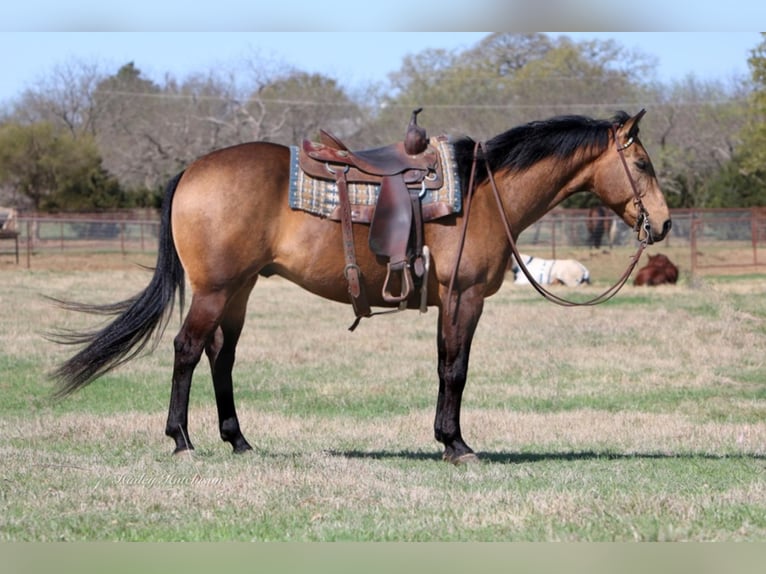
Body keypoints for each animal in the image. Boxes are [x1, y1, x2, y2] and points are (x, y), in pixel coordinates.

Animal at [51, 110, 672, 466]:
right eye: (642, 163)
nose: (663, 224)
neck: (483, 192)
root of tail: (192, 170)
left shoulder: (449, 300)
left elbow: (444, 366)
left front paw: (446, 438)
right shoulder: (464, 296)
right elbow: (456, 369)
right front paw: (457, 445)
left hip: (239, 291)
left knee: (219, 357)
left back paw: (238, 440)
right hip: (214, 289)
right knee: (186, 350)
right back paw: (181, 439)